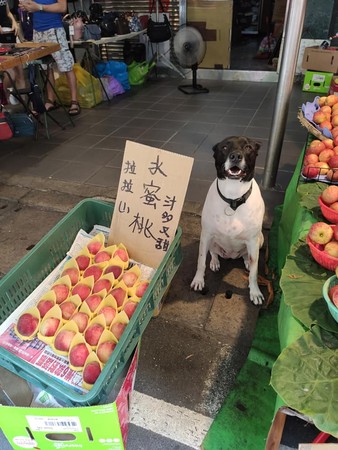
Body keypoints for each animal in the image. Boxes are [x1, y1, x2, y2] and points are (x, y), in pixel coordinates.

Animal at [191, 136, 266, 306]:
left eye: (248, 147)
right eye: (224, 147)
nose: (236, 156)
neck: (233, 197)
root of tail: (231, 256)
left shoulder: (253, 240)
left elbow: (254, 271)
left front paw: (255, 292)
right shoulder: (206, 235)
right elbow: (200, 261)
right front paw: (198, 280)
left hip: (260, 240)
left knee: (249, 257)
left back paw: (246, 261)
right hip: (211, 241)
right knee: (213, 252)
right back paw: (215, 262)